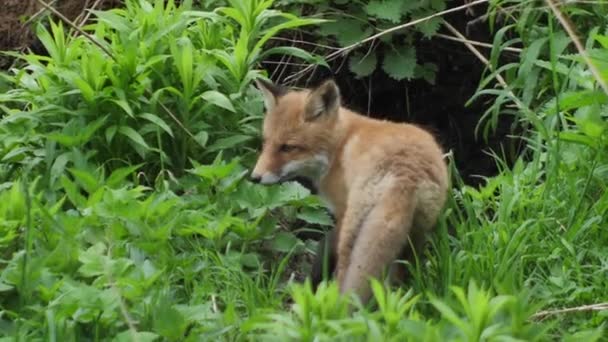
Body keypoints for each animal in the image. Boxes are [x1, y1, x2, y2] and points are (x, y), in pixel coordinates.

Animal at [249, 78, 448, 304]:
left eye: (288, 147)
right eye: (266, 143)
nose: (254, 177)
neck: (339, 146)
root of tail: (406, 174)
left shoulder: (342, 211)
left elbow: (325, 247)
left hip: (355, 230)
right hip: (415, 233)